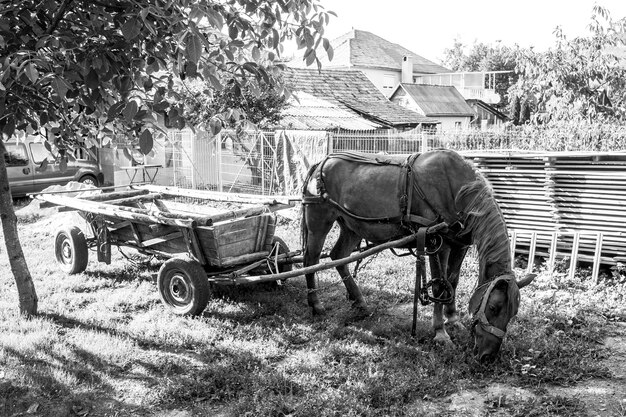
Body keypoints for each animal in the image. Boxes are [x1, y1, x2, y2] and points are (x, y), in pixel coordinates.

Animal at [300, 148, 532, 360]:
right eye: (493, 307)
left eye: (513, 313)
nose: (488, 356)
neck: (456, 189)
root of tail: (320, 164)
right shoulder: (437, 244)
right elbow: (439, 286)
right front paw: (440, 333)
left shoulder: (459, 246)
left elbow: (452, 282)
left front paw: (453, 319)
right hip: (319, 222)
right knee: (311, 260)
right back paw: (316, 304)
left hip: (352, 227)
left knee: (339, 257)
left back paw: (360, 301)